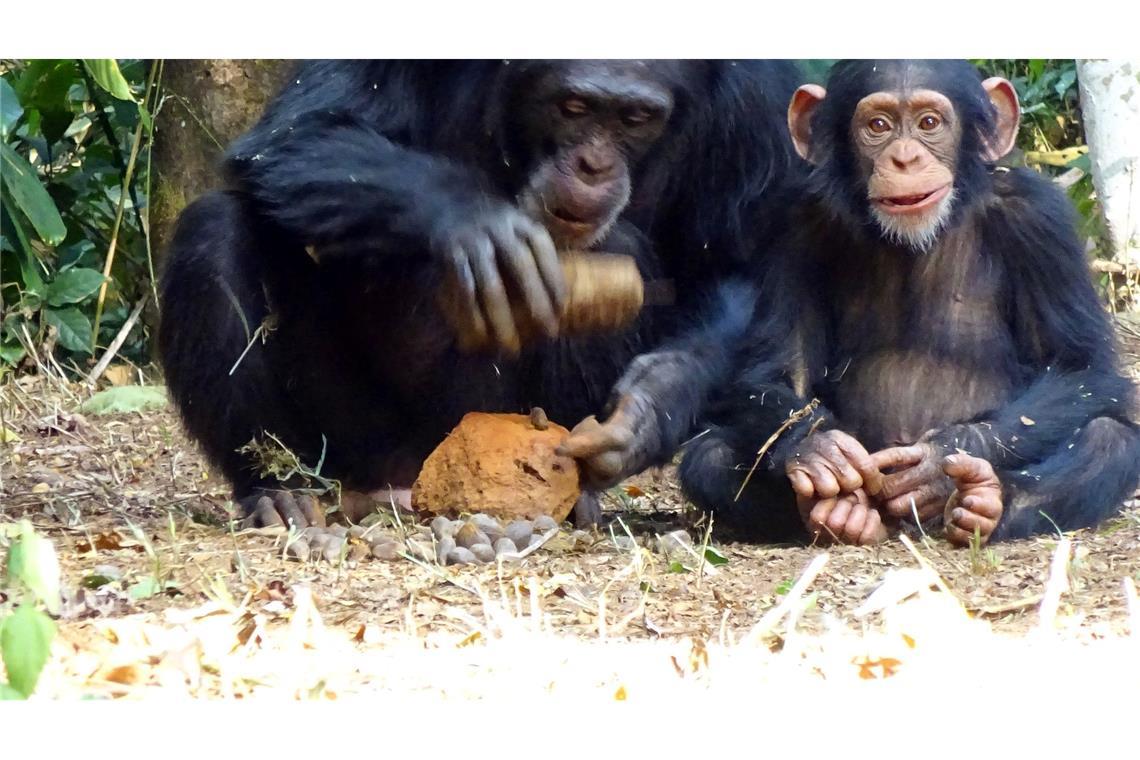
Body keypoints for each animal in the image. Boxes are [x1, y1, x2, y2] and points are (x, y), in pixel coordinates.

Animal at [158, 59, 802, 528]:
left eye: (637, 117)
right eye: (574, 107)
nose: (592, 165)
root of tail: (410, 480)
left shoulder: (757, 95)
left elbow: (733, 262)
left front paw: (645, 410)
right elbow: (303, 129)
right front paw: (473, 223)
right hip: (351, 442)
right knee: (215, 229)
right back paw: (277, 489)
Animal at [674, 60, 1140, 546]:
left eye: (929, 123)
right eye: (878, 126)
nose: (904, 158)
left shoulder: (1041, 218)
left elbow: (1079, 366)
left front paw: (938, 460)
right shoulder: (793, 220)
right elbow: (778, 368)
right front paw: (818, 446)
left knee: (1110, 439)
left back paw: (985, 502)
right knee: (708, 455)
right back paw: (838, 514)